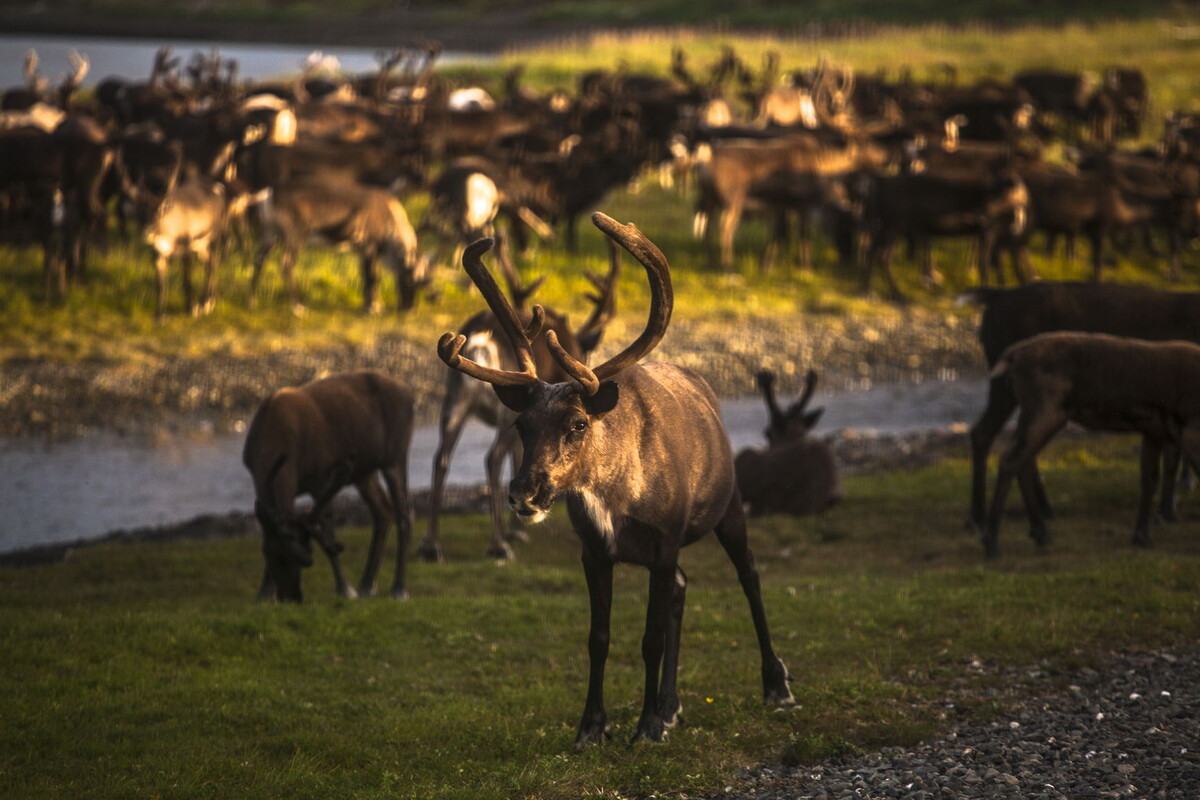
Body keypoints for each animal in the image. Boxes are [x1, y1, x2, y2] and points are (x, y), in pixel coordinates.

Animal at [241, 369, 415, 599]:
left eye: (305, 559)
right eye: (271, 555)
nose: (290, 596)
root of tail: (410, 393)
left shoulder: (323, 478)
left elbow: (327, 529)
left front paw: (345, 589)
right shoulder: (259, 482)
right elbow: (268, 528)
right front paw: (264, 593)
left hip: (395, 456)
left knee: (404, 515)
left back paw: (399, 588)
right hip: (364, 471)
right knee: (383, 511)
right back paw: (367, 584)